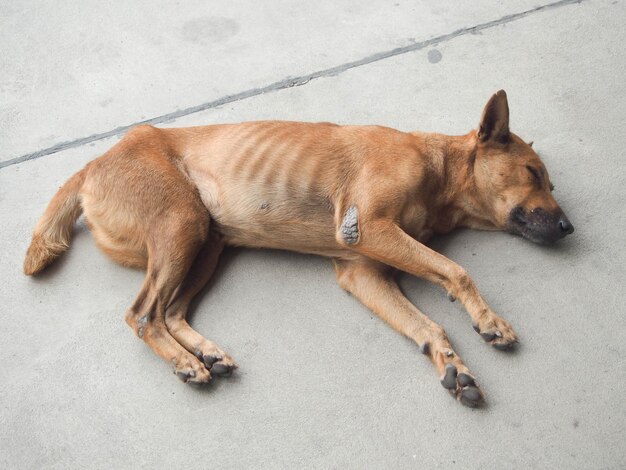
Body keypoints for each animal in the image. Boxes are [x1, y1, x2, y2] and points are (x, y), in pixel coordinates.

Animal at [24, 90, 572, 406]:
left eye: (546, 180)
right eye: (532, 173)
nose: (568, 228)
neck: (438, 169)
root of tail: (94, 163)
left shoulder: (364, 274)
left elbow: (428, 325)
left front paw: (453, 365)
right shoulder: (370, 228)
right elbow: (456, 271)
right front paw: (488, 320)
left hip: (205, 244)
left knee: (171, 312)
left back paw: (205, 352)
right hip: (182, 224)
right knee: (142, 314)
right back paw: (185, 363)